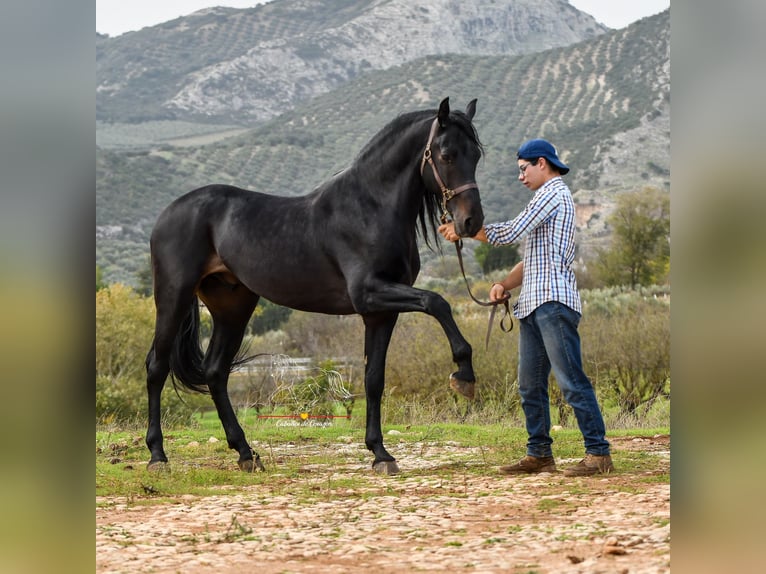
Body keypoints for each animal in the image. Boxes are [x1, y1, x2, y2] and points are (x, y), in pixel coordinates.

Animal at [144, 99, 486, 476]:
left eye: (475, 155)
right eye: (446, 154)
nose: (471, 222)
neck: (370, 208)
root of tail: (169, 212)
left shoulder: (380, 312)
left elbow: (374, 378)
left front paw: (380, 454)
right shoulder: (369, 293)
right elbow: (437, 302)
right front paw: (464, 375)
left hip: (232, 308)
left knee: (216, 371)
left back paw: (246, 454)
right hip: (173, 297)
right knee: (157, 368)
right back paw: (158, 456)